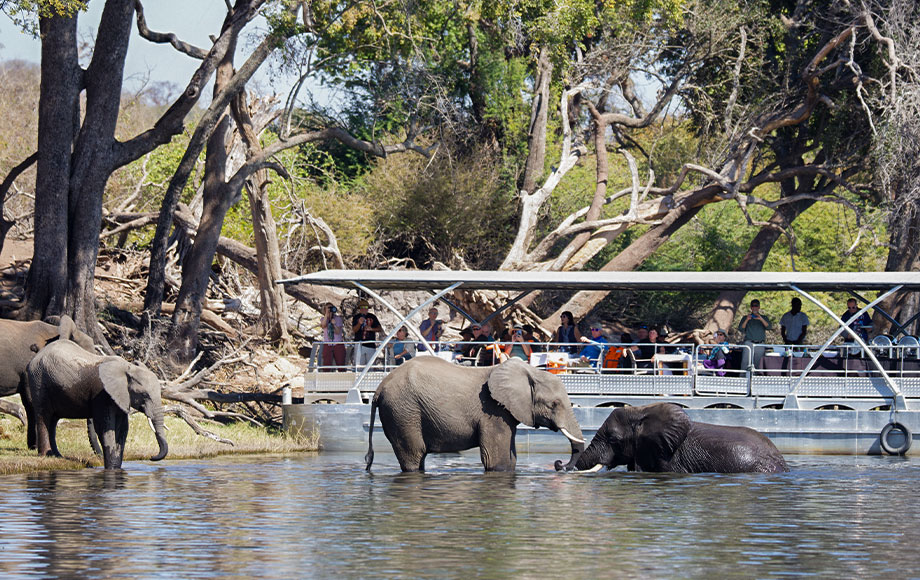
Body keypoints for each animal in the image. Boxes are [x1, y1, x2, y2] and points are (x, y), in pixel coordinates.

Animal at [0, 318, 95, 448]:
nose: (99, 454)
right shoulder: (32, 366)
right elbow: (33, 401)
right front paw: (36, 447)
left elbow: (28, 402)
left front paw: (32, 447)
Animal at [26, 338, 167, 468]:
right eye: (144, 395)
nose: (151, 457)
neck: (126, 368)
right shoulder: (103, 395)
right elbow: (105, 428)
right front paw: (110, 469)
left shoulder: (120, 397)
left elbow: (122, 429)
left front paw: (116, 468)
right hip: (38, 381)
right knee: (44, 415)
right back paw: (46, 455)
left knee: (53, 420)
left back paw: (57, 456)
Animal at [364, 358, 584, 472]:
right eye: (553, 404)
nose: (558, 464)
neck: (528, 372)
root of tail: (379, 388)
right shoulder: (492, 411)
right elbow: (497, 461)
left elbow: (511, 459)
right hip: (403, 412)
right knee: (414, 455)